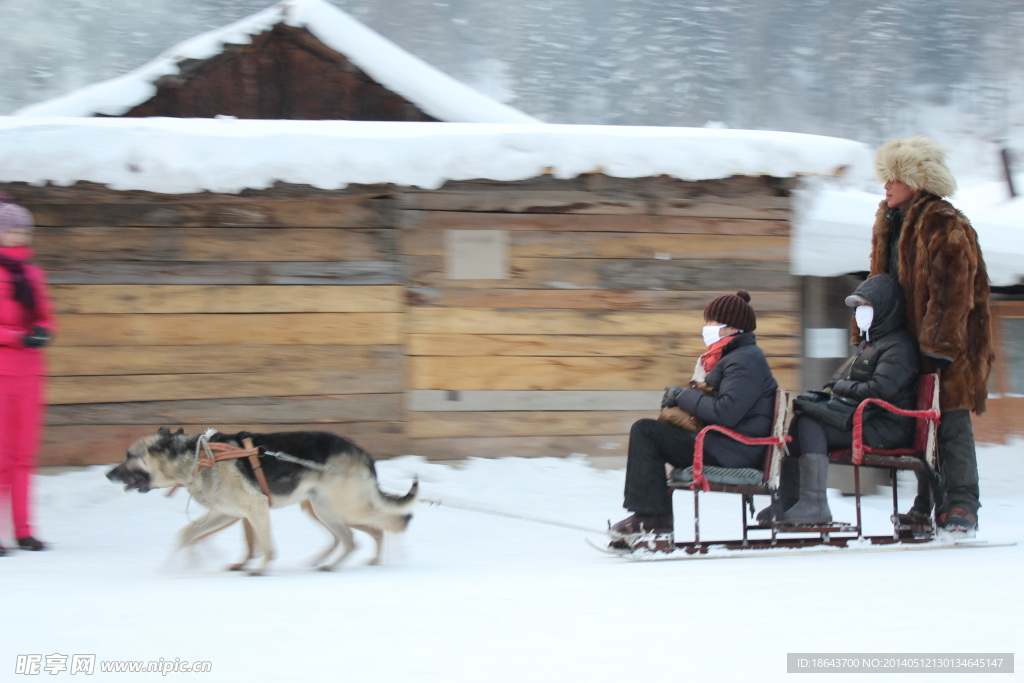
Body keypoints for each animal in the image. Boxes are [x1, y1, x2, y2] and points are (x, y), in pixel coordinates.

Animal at [105, 430, 417, 573]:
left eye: (129, 455)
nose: (108, 474)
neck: (197, 458)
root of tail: (362, 451)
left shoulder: (254, 508)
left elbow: (266, 546)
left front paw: (260, 569)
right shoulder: (226, 514)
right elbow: (185, 535)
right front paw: (171, 568)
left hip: (345, 507)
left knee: (393, 521)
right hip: (328, 510)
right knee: (355, 538)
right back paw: (335, 565)